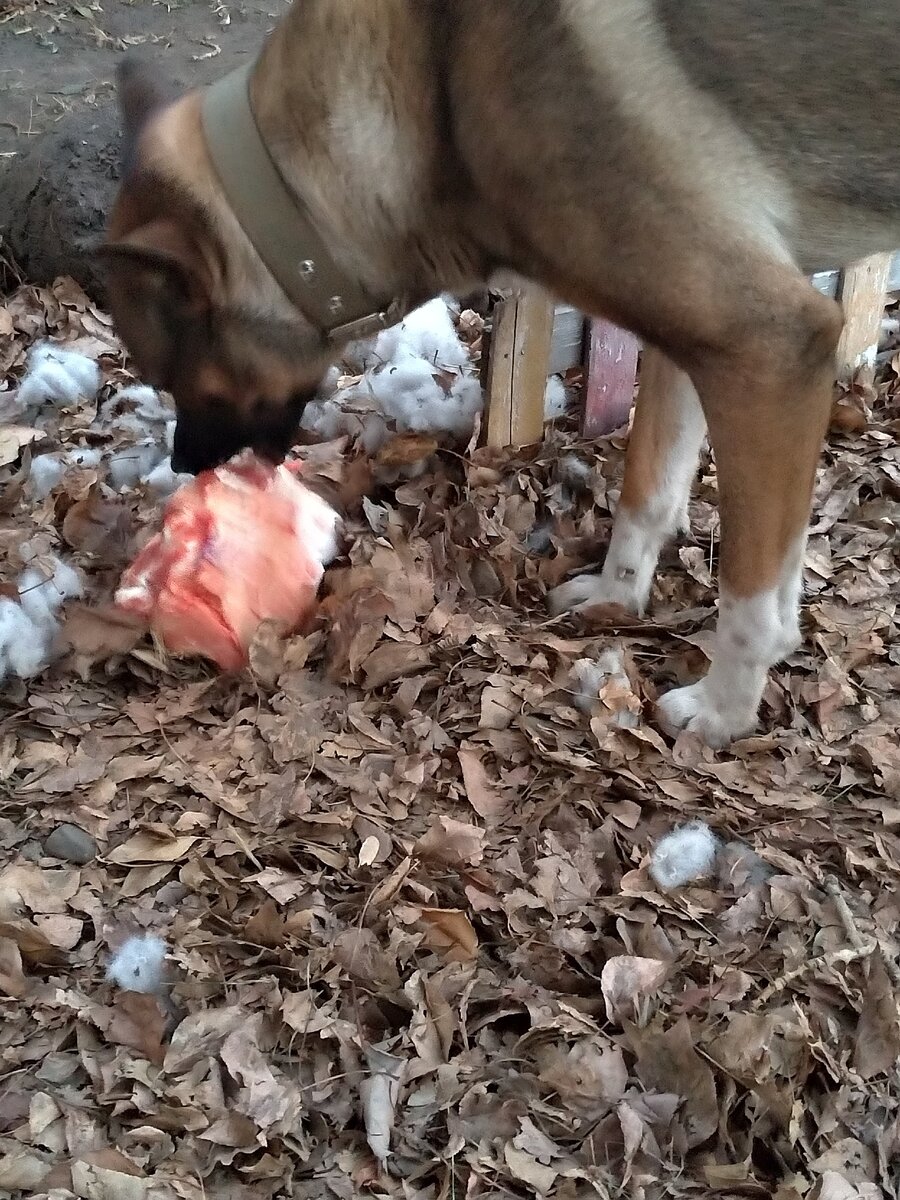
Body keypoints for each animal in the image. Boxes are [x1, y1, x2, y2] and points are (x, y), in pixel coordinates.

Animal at [98, 2, 900, 748]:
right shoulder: (687, 348)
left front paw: (723, 708)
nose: (184, 467)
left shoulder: (770, 348)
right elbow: (648, 491)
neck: (434, 102)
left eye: (180, 378)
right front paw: (618, 595)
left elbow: (752, 596)